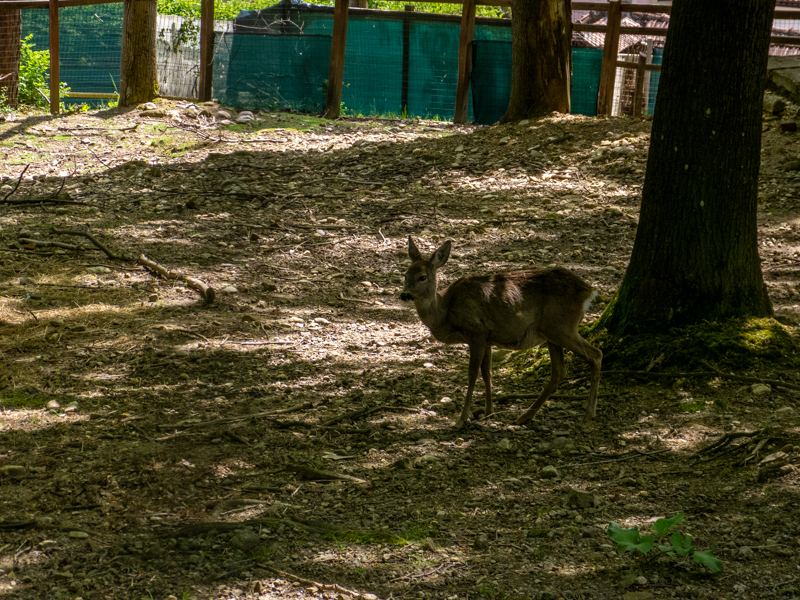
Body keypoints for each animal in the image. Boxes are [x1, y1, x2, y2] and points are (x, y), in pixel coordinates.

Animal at [400, 237, 602, 429]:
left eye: (422, 277)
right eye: (405, 275)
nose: (404, 295)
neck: (446, 312)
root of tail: (589, 291)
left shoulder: (476, 331)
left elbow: (472, 373)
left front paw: (462, 419)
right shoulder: (488, 338)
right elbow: (487, 372)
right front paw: (488, 412)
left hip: (562, 326)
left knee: (595, 354)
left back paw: (588, 416)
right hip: (552, 332)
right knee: (559, 371)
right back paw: (524, 417)